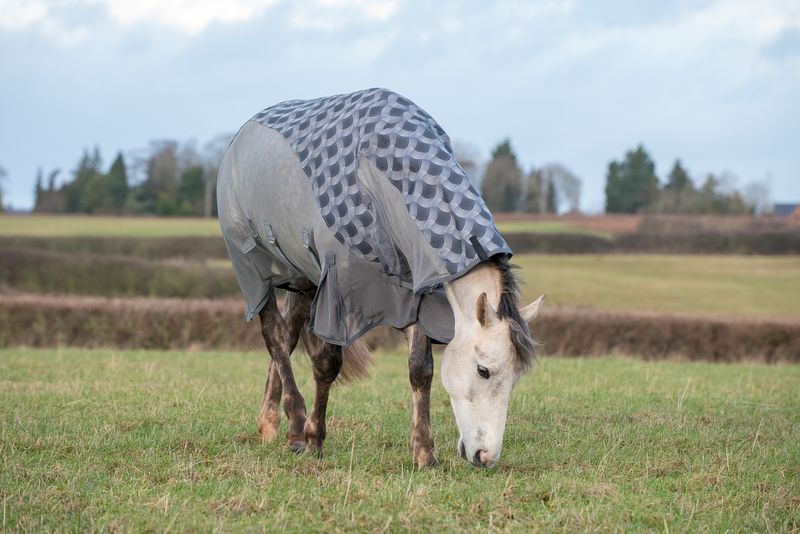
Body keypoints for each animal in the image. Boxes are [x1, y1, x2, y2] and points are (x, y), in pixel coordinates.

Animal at [219, 88, 544, 468]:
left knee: (288, 336)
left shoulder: (418, 290)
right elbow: (327, 364)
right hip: (255, 267)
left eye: (516, 377)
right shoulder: (338, 290)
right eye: (483, 370)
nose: (485, 456)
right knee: (274, 335)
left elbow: (421, 369)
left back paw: (271, 423)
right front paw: (315, 439)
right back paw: (296, 424)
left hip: (301, 277)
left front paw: (424, 453)